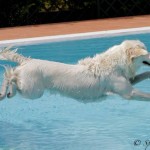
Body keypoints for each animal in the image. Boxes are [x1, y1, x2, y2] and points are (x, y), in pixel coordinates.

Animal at [0, 39, 150, 101]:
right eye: (146, 52)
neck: (116, 62)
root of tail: (27, 60)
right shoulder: (129, 93)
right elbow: (145, 95)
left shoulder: (128, 82)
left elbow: (144, 74)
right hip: (32, 91)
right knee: (10, 76)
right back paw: (7, 91)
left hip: (30, 89)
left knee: (11, 76)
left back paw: (6, 93)